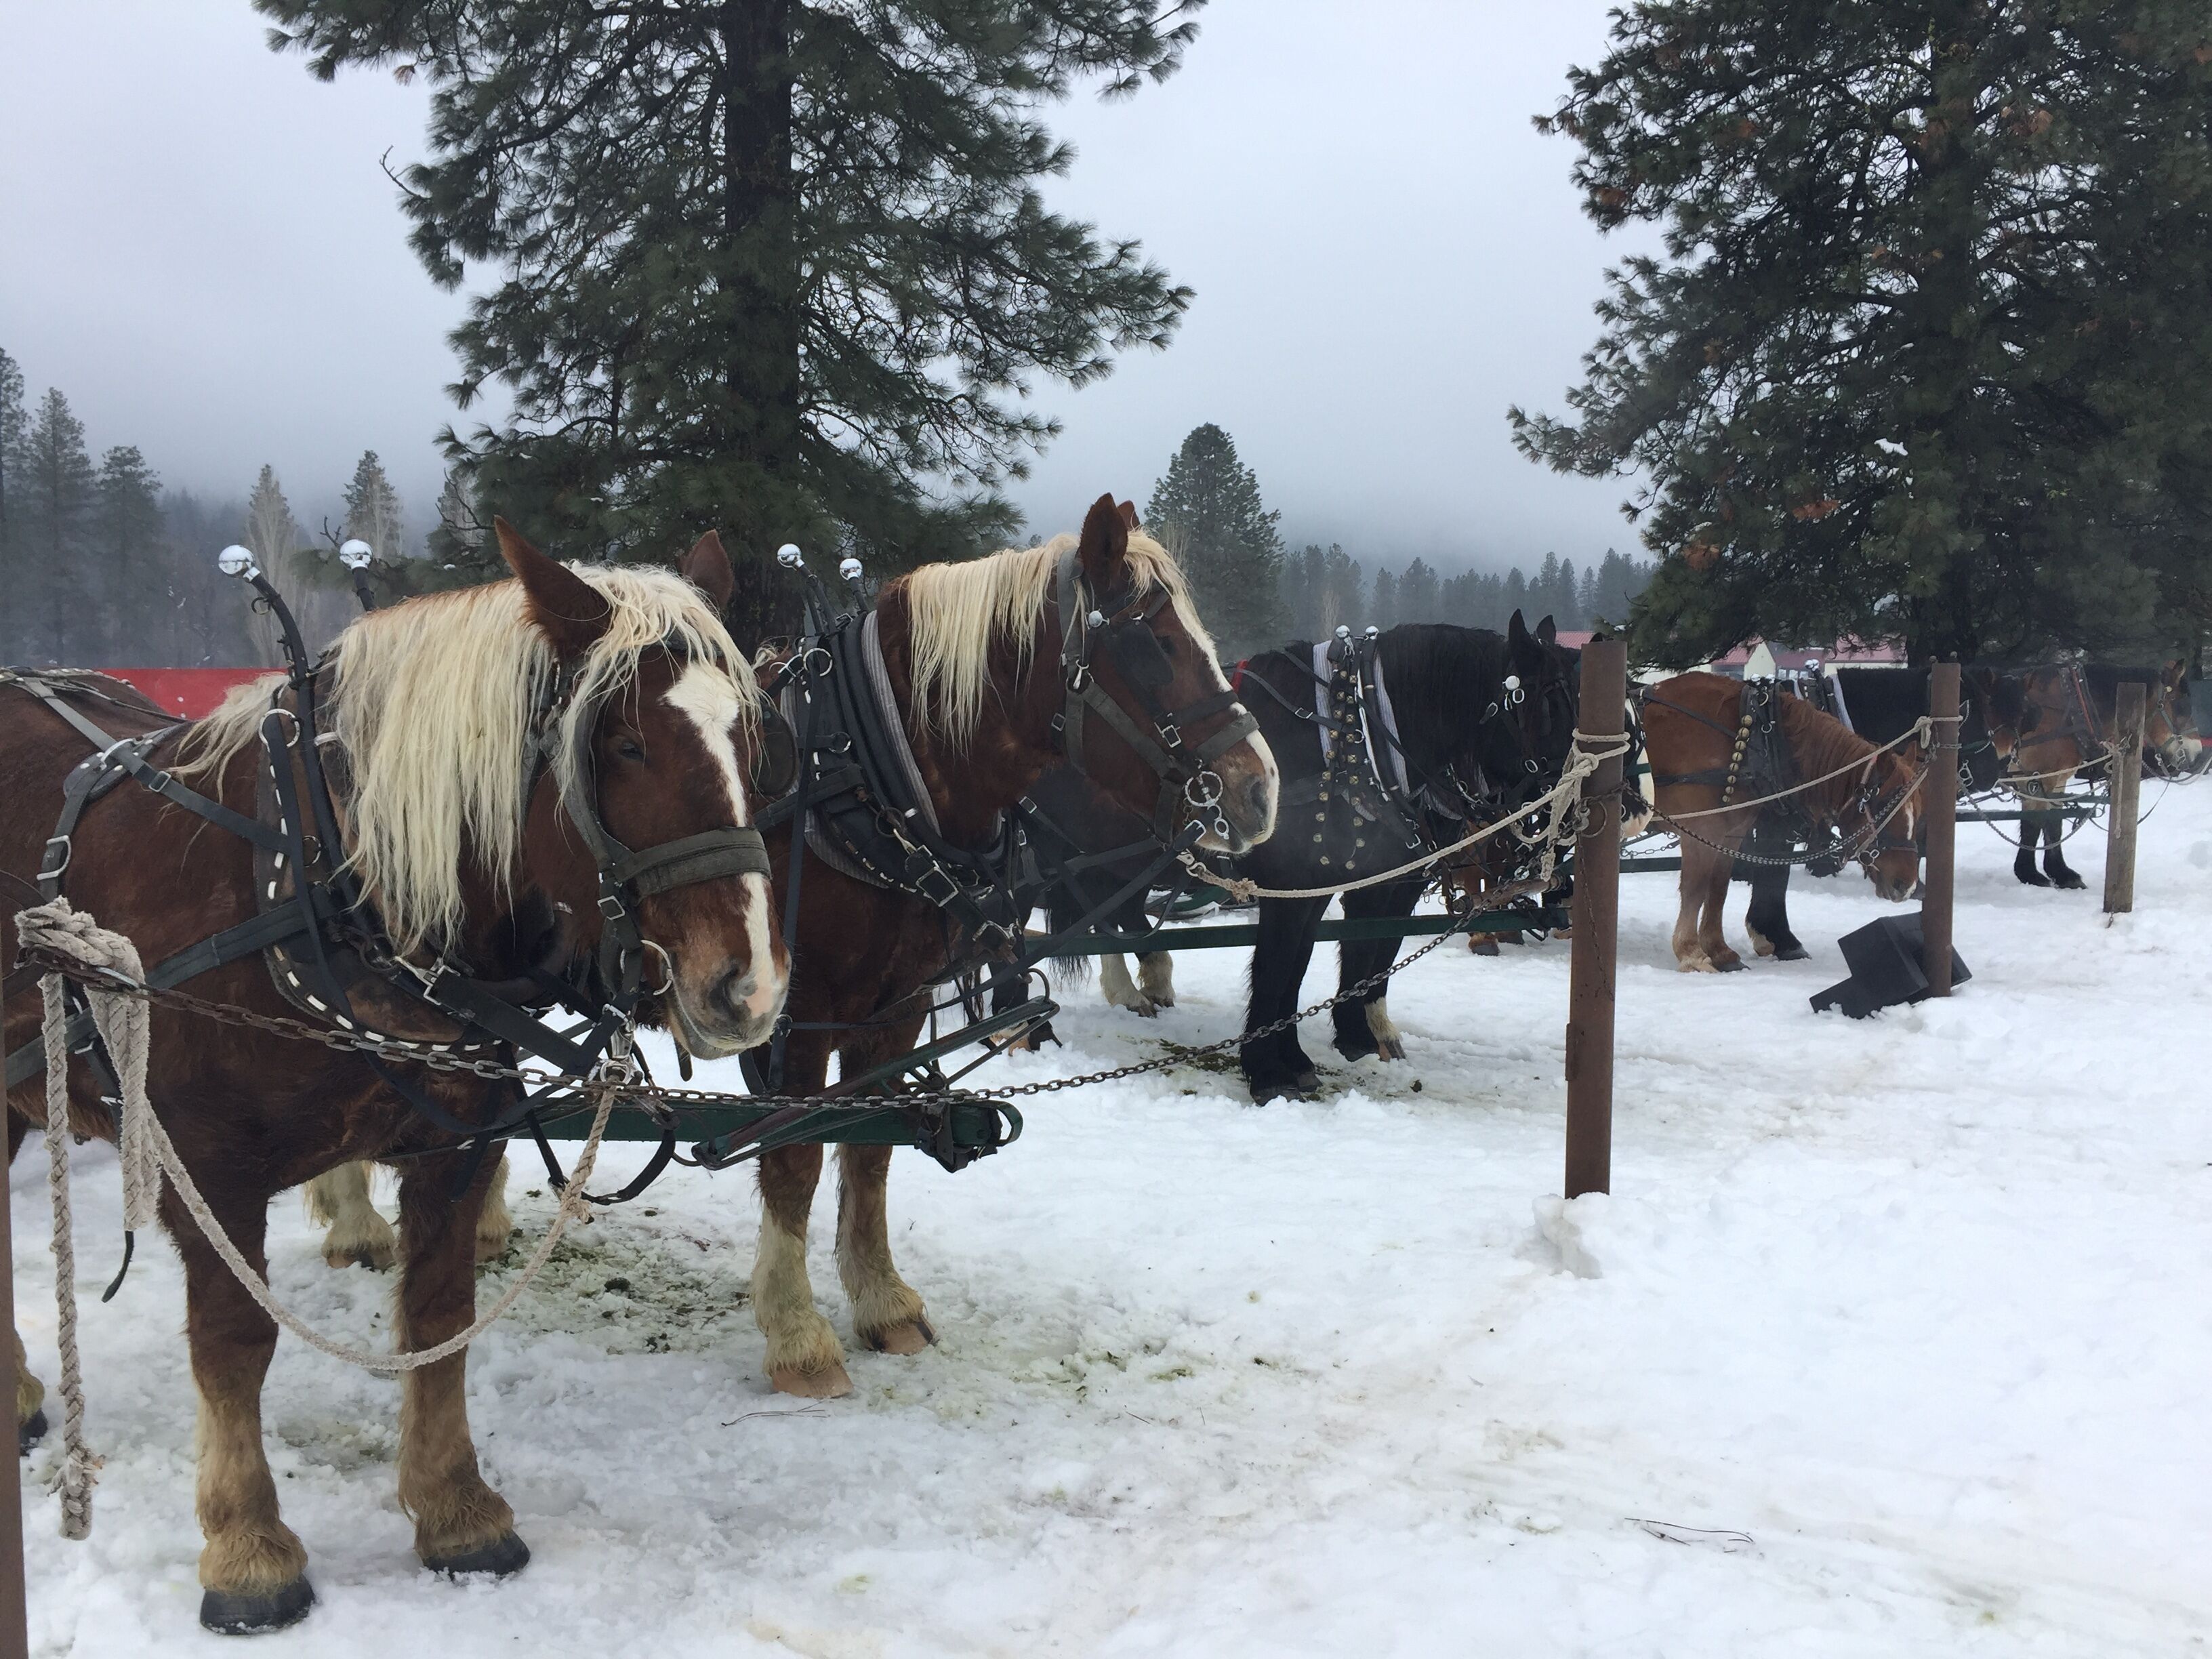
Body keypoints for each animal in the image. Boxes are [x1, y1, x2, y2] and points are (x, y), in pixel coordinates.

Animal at [2, 525, 789, 1634]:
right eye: (625, 746)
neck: (330, 886)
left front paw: (455, 1508)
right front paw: (248, 1550)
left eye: (753, 744)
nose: (748, 986)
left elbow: (440, 1315)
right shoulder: (210, 1167)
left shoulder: (453, 1150)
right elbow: (234, 1343)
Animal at [744, 494, 1277, 1398]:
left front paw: (882, 1303)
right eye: (1153, 644)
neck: (856, 781)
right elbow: (794, 1160)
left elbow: (870, 1149)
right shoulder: (803, 1014)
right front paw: (796, 1338)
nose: (1261, 788)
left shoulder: (895, 1006)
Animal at [1229, 614, 1582, 1104]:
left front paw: (1328, 1047)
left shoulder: (1347, 882)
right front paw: (1265, 1071)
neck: (1348, 739)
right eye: (1548, 704)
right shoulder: (1296, 885)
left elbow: (1336, 956)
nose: (1589, 802)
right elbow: (1279, 964)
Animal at [1640, 672, 1923, 972]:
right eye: (1883, 805)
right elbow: (1695, 888)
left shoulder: (1730, 834)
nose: (1907, 886)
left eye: (1918, 812)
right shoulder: (1702, 829)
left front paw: (1721, 951)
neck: (1753, 736)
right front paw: (1691, 953)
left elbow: (1718, 888)